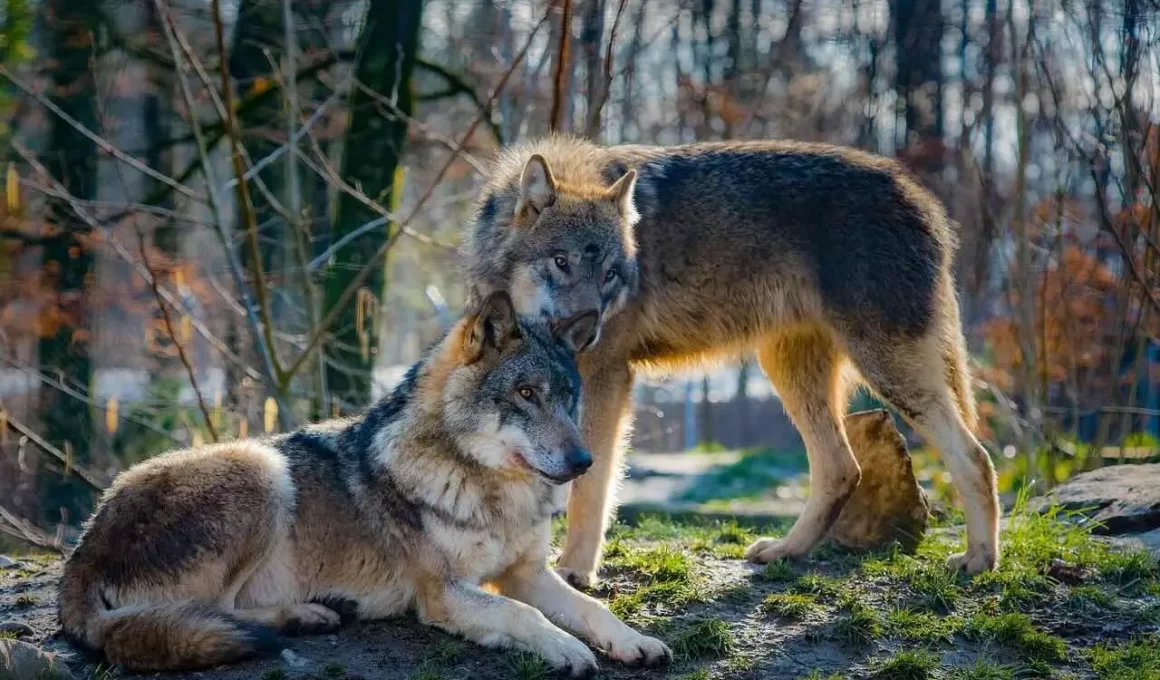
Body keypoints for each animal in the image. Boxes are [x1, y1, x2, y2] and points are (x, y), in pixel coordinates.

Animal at [56, 290, 672, 673]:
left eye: (568, 397)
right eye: (525, 394)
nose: (584, 460)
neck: (492, 491)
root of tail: (83, 546)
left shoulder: (526, 573)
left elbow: (591, 608)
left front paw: (634, 641)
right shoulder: (443, 593)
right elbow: (525, 615)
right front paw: (566, 650)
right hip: (261, 469)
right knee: (213, 612)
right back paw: (306, 615)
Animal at [466, 136, 1002, 582]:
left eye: (611, 275)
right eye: (562, 262)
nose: (589, 331)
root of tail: (924, 199)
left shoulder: (606, 377)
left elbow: (591, 484)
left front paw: (575, 572)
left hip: (886, 370)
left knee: (975, 457)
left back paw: (979, 560)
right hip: (791, 372)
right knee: (842, 467)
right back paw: (786, 551)